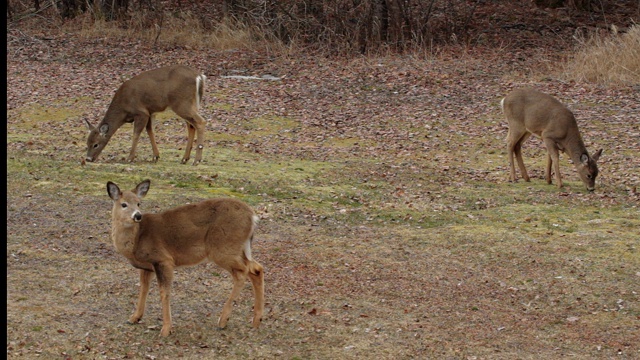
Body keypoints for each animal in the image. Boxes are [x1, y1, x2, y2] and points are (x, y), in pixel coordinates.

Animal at [105, 180, 264, 338]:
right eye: (124, 204)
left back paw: (223, 321)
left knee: (243, 272)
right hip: (238, 249)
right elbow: (143, 289)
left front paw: (166, 329)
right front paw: (134, 318)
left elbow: (164, 293)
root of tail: (252, 217)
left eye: (139, 203)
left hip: (223, 247)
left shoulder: (163, 259)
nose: (138, 216)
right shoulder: (147, 266)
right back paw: (256, 321)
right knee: (256, 268)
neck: (137, 239)